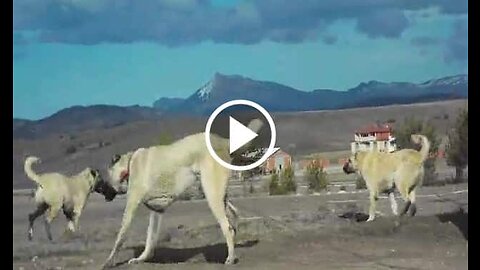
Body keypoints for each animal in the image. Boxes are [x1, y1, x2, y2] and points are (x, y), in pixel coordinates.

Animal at [98, 118, 262, 268]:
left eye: (106, 178)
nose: (101, 190)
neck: (129, 165)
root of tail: (223, 141)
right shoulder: (157, 211)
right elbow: (150, 239)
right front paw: (142, 258)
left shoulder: (131, 205)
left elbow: (120, 237)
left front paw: (109, 261)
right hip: (219, 194)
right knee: (234, 216)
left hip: (211, 193)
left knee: (227, 226)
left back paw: (230, 258)